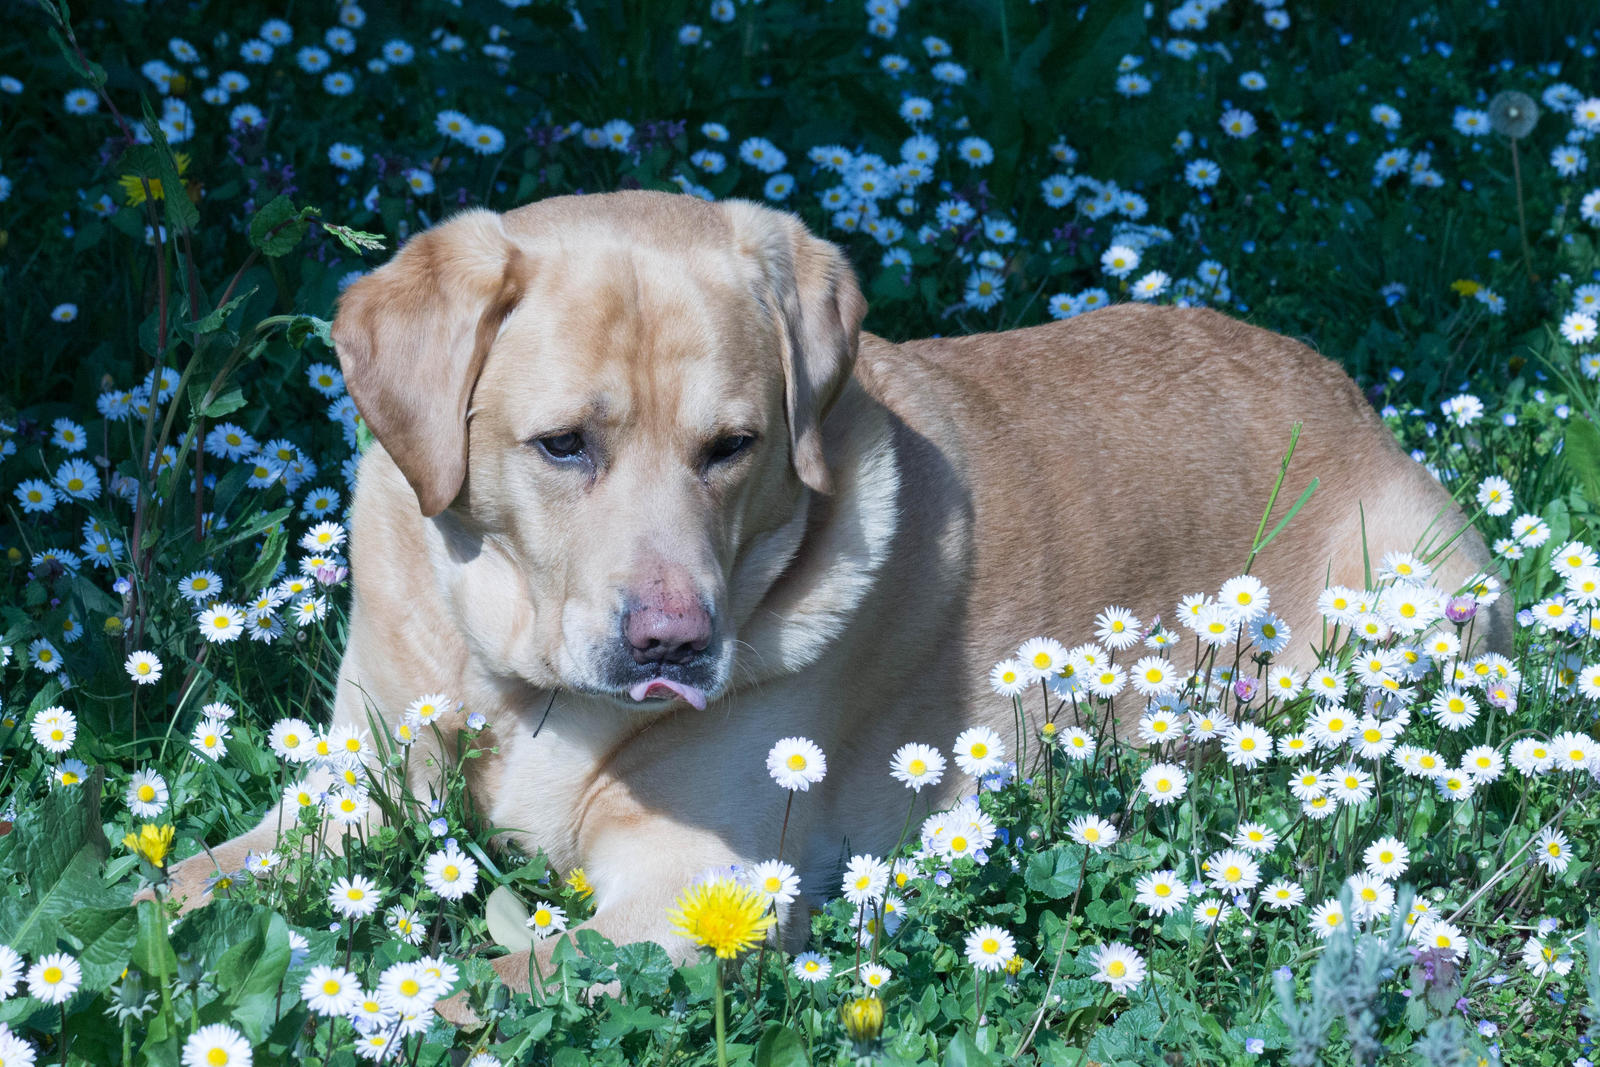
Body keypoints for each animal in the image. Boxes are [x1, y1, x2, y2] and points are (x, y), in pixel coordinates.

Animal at [172, 189, 1497, 991]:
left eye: (732, 446)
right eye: (562, 446)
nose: (676, 641)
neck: (521, 682)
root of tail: (1350, 392)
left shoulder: (684, 892)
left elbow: (483, 985)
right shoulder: (343, 794)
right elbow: (182, 872)